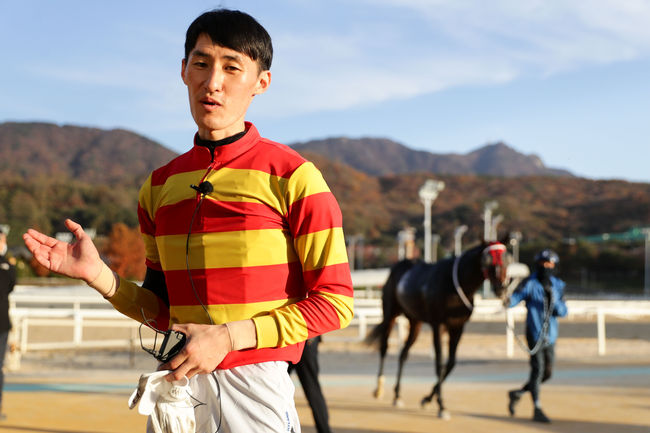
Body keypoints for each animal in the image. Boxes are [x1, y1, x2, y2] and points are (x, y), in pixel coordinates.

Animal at [362, 240, 508, 418]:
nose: (501, 288)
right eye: (488, 260)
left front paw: (427, 399)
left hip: (415, 322)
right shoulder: (438, 325)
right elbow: (439, 362)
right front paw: (441, 406)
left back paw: (397, 395)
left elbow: (450, 363)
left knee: (403, 354)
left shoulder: (457, 327)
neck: (455, 284)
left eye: (506, 259)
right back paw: (379, 389)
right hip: (390, 313)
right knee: (384, 347)